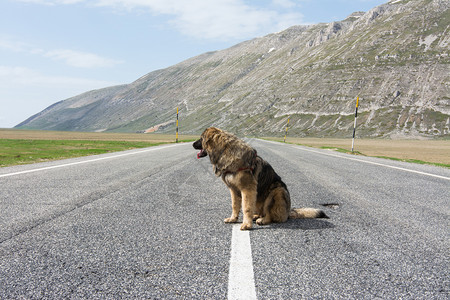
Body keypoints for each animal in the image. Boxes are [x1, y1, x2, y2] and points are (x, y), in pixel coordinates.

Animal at [192, 126, 326, 230]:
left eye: (201, 138)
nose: (193, 144)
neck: (224, 151)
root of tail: (288, 212)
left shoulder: (247, 189)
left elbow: (246, 207)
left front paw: (246, 225)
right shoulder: (233, 190)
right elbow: (235, 206)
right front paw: (233, 219)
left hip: (277, 191)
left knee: (272, 216)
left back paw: (262, 220)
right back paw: (256, 216)